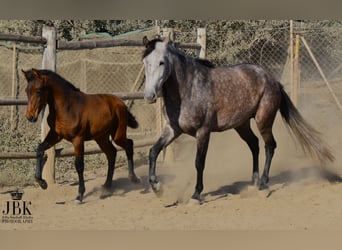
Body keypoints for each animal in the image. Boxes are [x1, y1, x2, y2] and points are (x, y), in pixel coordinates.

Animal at [22, 69, 139, 203]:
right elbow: (40, 149)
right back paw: (107, 186)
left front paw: (80, 195)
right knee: (112, 153)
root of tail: (121, 103)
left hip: (117, 135)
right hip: (101, 137)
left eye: (38, 90)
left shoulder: (77, 139)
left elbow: (79, 165)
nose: (30, 117)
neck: (67, 107)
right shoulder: (55, 135)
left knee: (129, 144)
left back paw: (133, 178)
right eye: (26, 91)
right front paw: (42, 183)